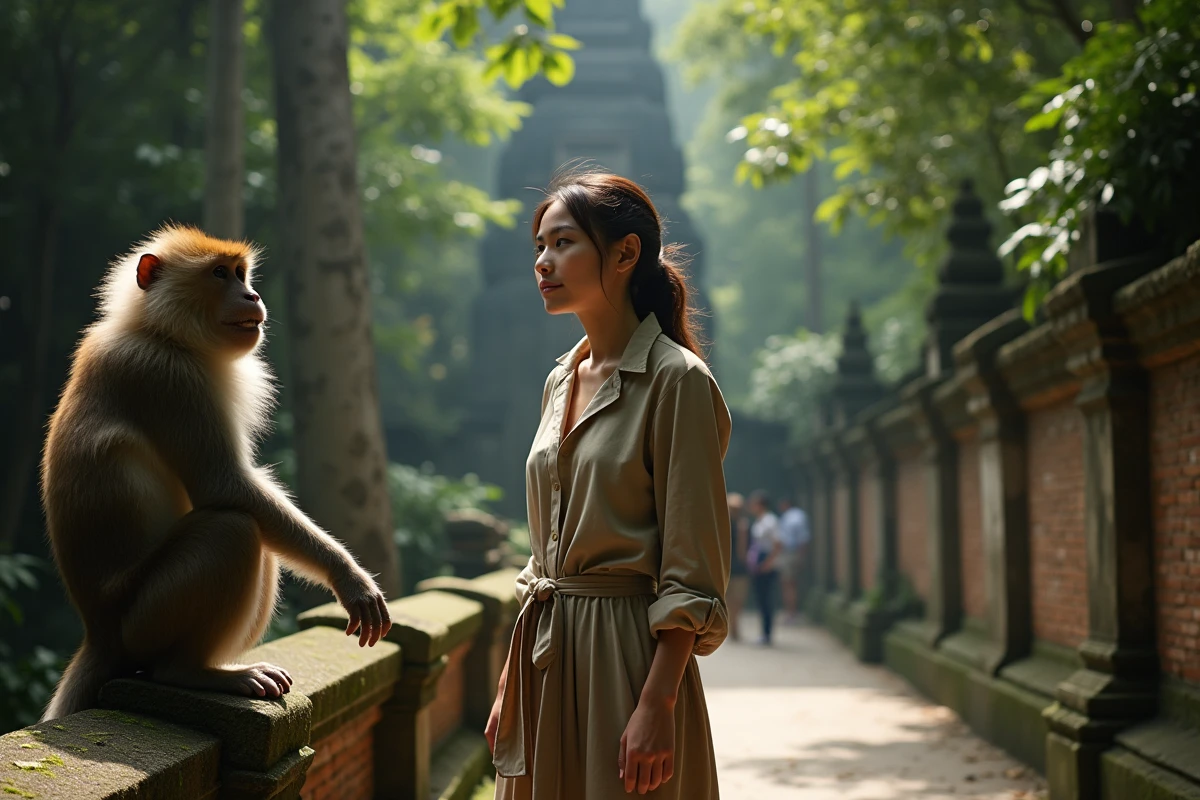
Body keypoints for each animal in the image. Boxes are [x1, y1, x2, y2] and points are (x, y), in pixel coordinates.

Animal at [39, 224, 392, 722]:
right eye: (221, 274)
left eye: (242, 273)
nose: (252, 294)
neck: (160, 331)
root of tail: (98, 633)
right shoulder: (167, 375)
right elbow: (225, 485)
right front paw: (350, 577)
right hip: (143, 622)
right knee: (233, 528)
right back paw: (191, 672)